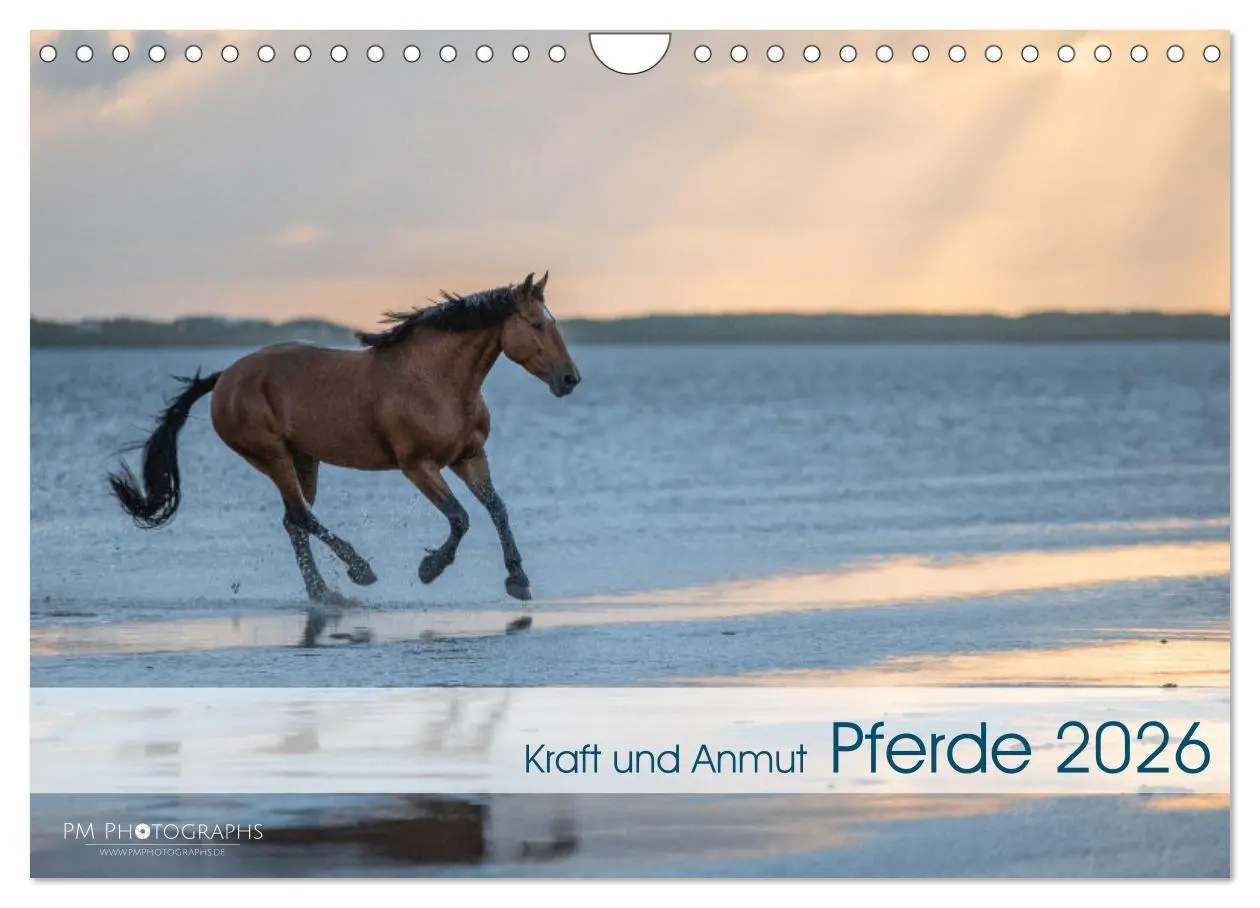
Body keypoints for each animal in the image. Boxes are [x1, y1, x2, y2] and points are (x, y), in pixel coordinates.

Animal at [108, 271, 580, 604]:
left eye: (552, 322)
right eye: (536, 324)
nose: (569, 379)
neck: (436, 381)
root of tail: (225, 378)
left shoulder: (469, 457)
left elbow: (497, 509)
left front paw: (518, 579)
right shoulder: (417, 466)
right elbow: (460, 516)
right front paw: (430, 568)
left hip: (304, 460)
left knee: (293, 520)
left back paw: (325, 593)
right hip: (271, 456)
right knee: (302, 517)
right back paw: (359, 571)